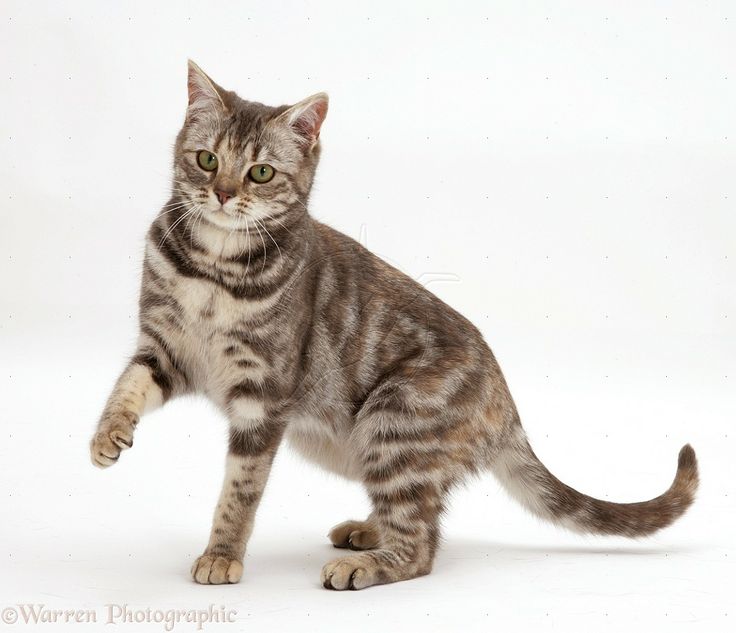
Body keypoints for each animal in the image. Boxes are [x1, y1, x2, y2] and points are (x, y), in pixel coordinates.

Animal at [89, 61, 700, 592]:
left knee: (423, 545)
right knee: (426, 516)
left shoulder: (262, 394)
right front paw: (106, 436)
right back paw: (367, 532)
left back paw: (367, 563)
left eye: (260, 172)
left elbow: (240, 490)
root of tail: (506, 404)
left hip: (394, 423)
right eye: (207, 160)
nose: (221, 193)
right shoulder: (164, 349)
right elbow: (126, 386)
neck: (213, 270)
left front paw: (221, 555)